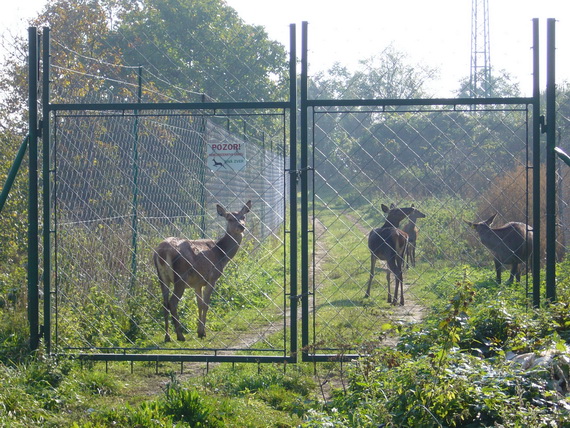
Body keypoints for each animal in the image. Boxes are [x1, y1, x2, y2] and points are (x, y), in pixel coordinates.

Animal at [153, 201, 251, 342]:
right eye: (230, 218)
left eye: (243, 217)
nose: (241, 226)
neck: (221, 254)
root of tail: (161, 252)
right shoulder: (212, 277)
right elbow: (206, 304)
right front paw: (202, 332)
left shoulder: (197, 283)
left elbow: (199, 304)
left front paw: (199, 331)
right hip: (180, 277)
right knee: (172, 303)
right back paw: (180, 335)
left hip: (162, 277)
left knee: (165, 303)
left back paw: (167, 337)